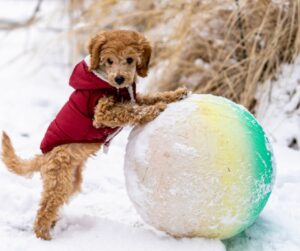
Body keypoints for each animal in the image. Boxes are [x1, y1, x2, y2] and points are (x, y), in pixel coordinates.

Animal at [0, 30, 188, 240]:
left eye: (130, 59)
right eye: (109, 61)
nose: (120, 79)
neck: (109, 83)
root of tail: (43, 158)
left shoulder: (134, 97)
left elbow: (149, 97)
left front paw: (175, 94)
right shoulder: (101, 113)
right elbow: (130, 111)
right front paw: (155, 109)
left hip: (71, 181)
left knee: (52, 204)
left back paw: (53, 224)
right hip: (59, 179)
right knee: (44, 210)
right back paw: (44, 236)